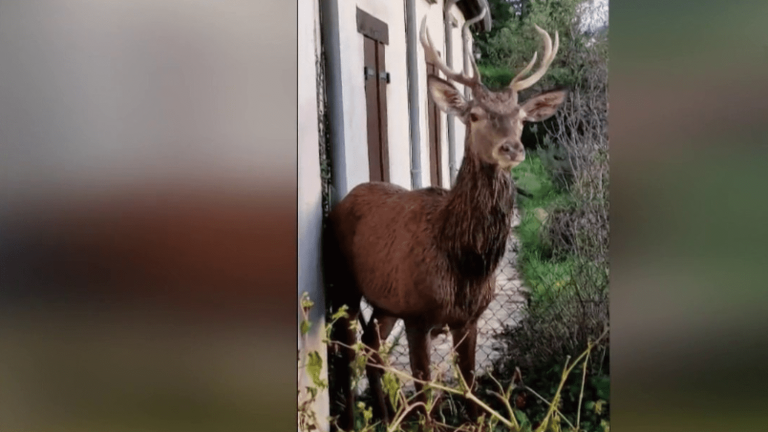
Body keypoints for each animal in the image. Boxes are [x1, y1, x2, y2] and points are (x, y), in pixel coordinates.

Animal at [320, 11, 568, 430]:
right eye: (474, 115)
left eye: (520, 118)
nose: (512, 148)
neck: (462, 260)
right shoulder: (418, 315)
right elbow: (425, 398)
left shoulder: (468, 318)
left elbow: (469, 388)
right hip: (344, 284)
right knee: (347, 352)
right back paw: (356, 421)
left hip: (385, 302)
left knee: (373, 347)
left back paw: (387, 417)